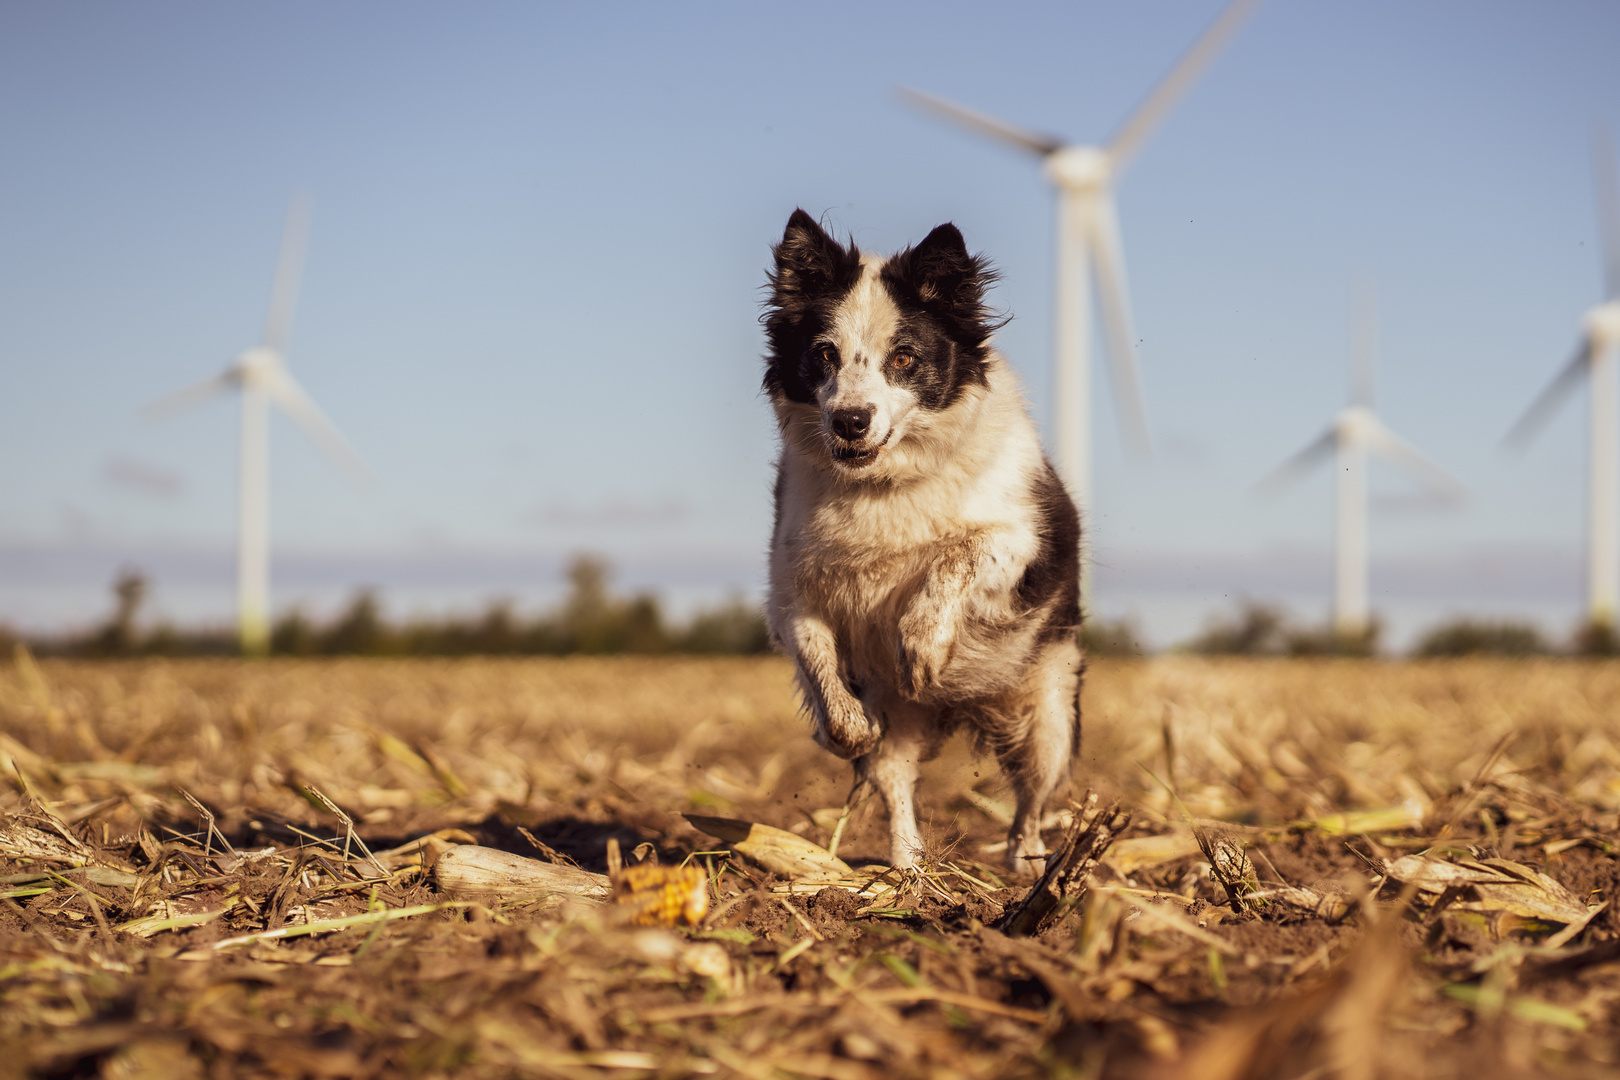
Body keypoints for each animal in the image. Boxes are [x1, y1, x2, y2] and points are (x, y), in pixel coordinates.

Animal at [761, 207, 1088, 874]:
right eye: (824, 354)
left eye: (905, 359)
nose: (850, 421)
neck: (882, 486)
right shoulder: (791, 589)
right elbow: (819, 664)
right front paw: (847, 726)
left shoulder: (1021, 539)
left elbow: (955, 554)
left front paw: (921, 647)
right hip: (910, 723)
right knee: (897, 784)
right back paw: (910, 872)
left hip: (1047, 712)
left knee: (1031, 801)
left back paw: (1027, 868)